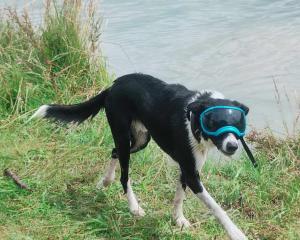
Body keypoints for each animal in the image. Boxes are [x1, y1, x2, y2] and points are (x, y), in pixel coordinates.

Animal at [31, 73, 250, 240]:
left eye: (238, 124)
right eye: (214, 123)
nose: (232, 146)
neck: (195, 117)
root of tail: (113, 86)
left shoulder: (188, 168)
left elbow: (179, 196)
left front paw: (177, 219)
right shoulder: (190, 173)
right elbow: (216, 207)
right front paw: (236, 233)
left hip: (140, 140)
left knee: (114, 152)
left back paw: (105, 181)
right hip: (122, 134)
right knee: (124, 176)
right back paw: (134, 207)